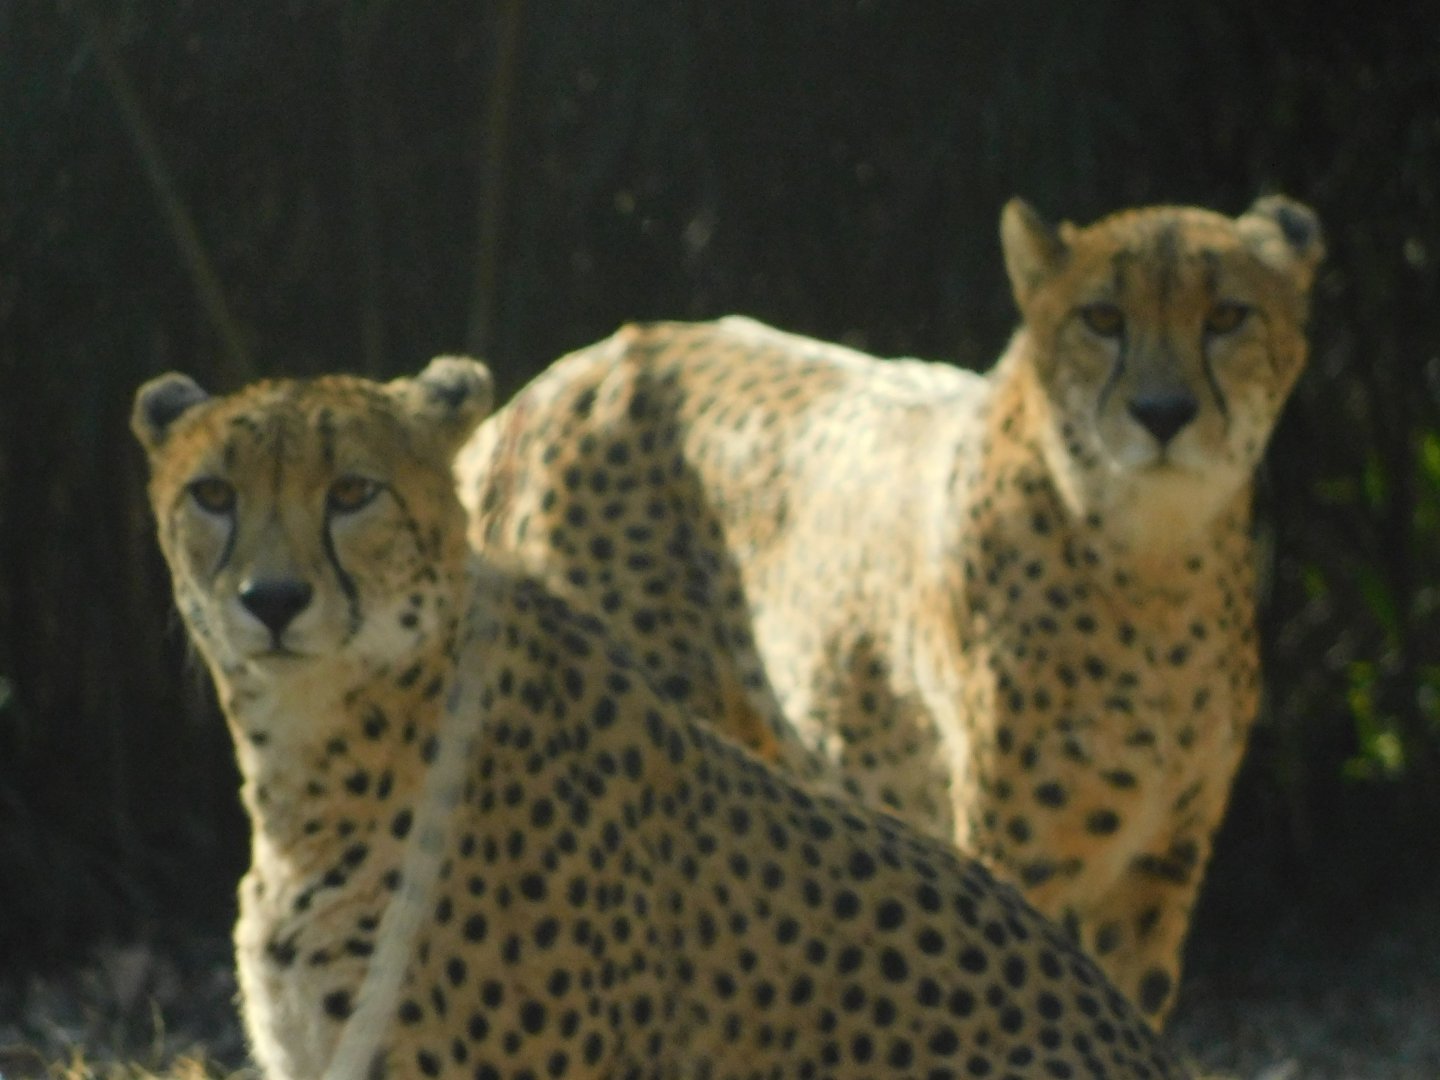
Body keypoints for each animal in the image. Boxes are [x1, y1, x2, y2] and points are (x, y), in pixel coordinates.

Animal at [456, 195, 1324, 1025]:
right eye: (1104, 319)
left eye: (1227, 316)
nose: (1163, 412)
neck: (1154, 562)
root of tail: (570, 372)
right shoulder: (1020, 852)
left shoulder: (1156, 869)